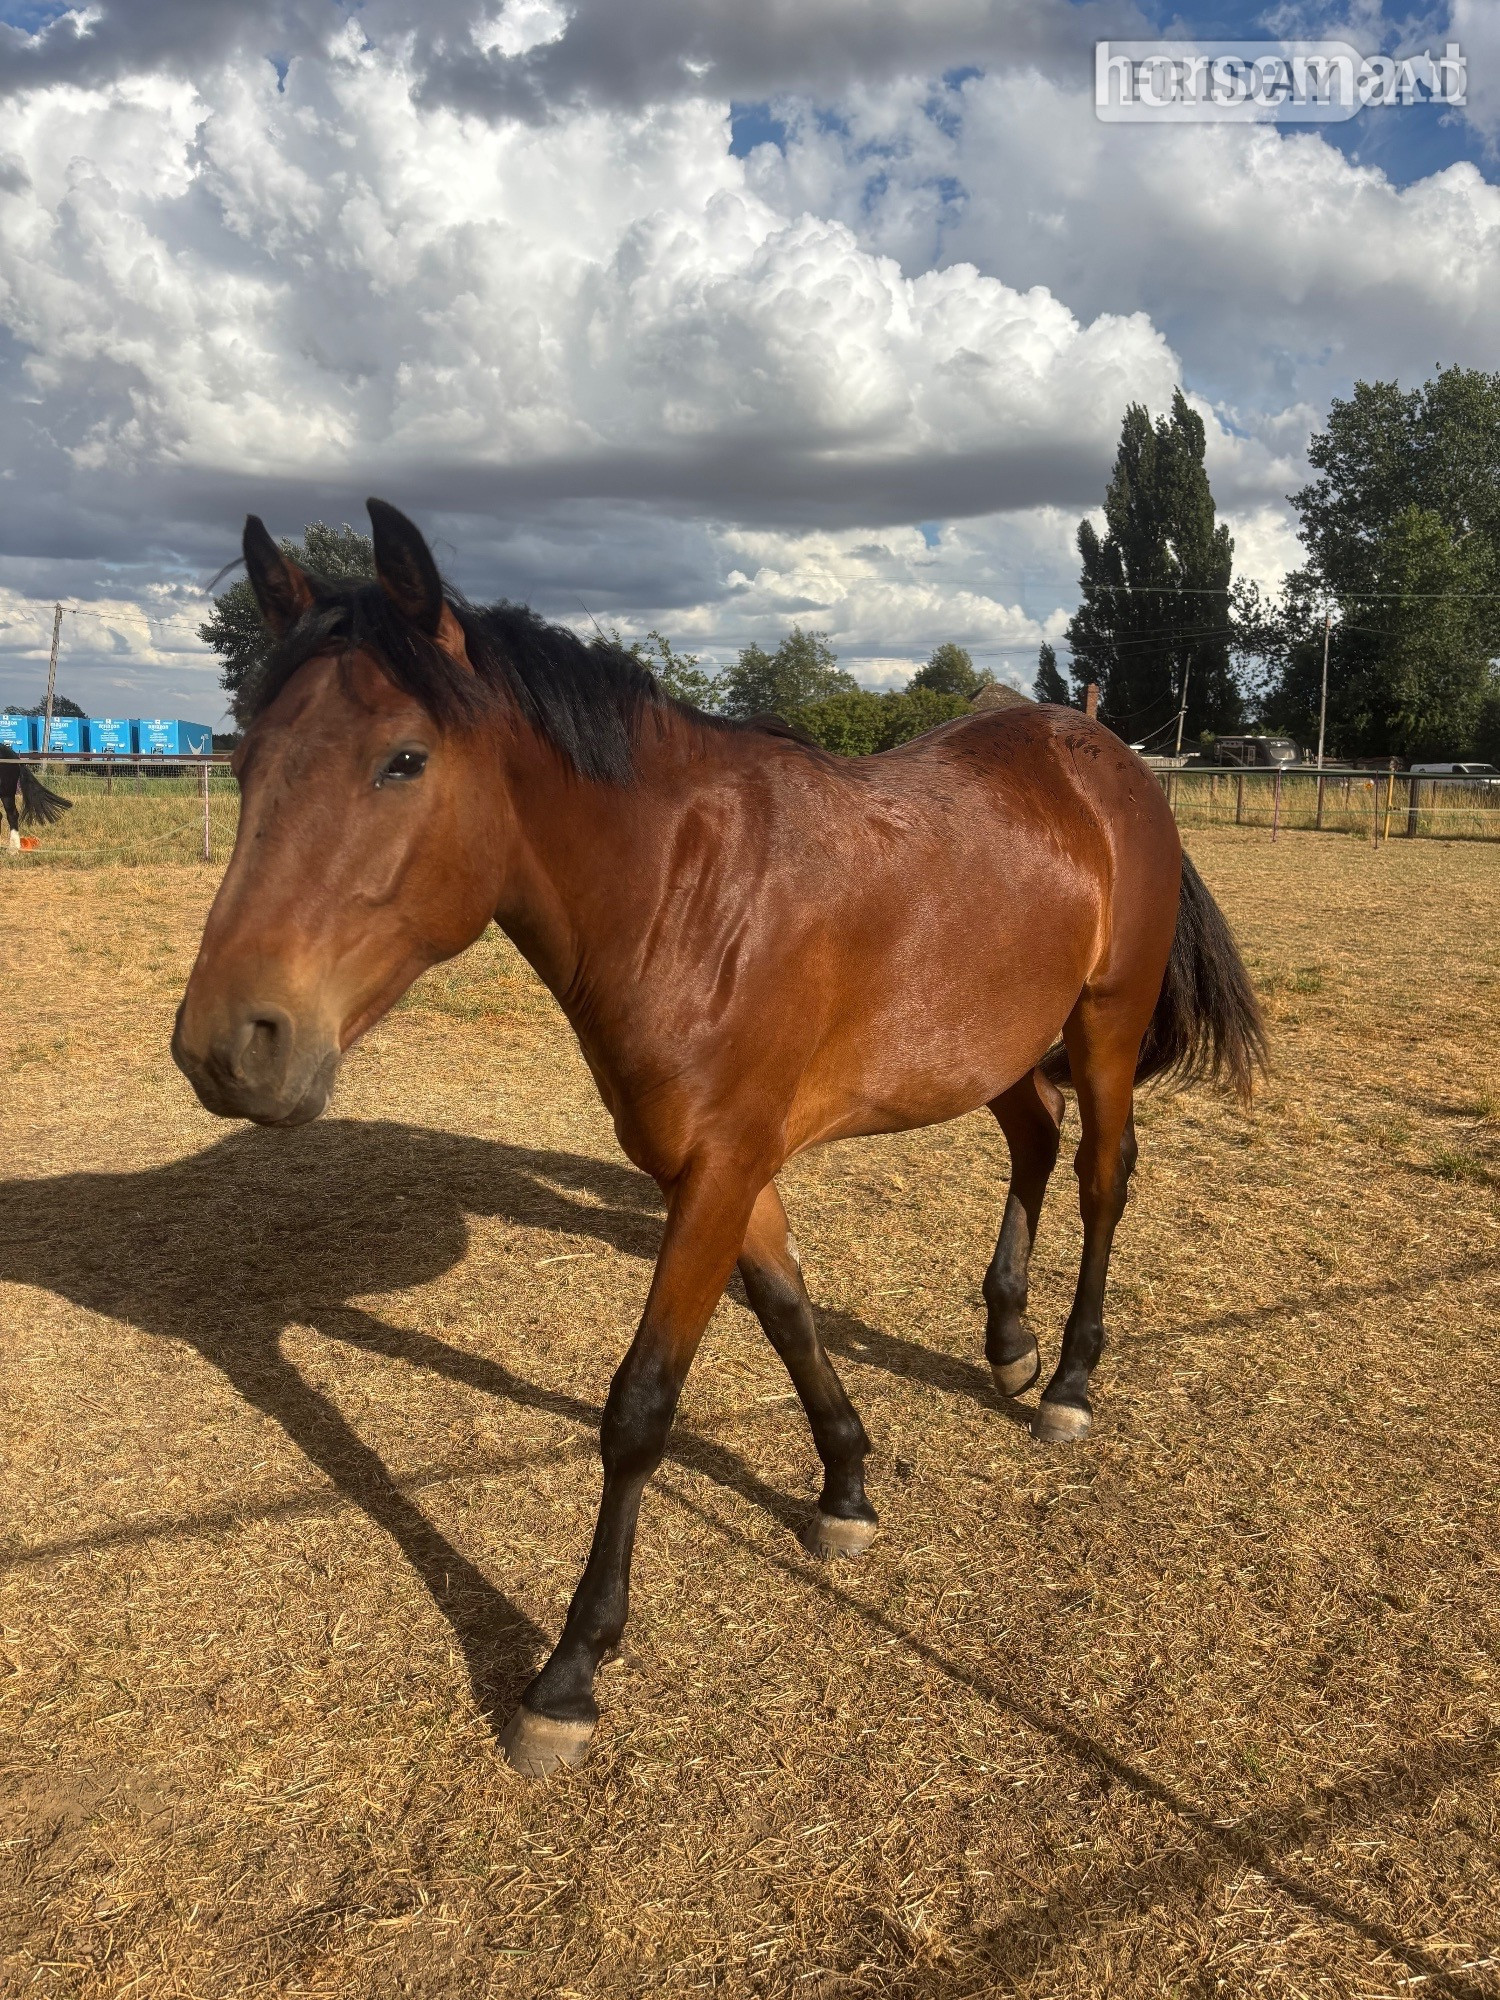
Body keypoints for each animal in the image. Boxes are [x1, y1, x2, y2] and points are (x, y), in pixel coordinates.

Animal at [173, 499, 1266, 1778]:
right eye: (247, 758)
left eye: (404, 757)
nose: (229, 1043)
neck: (689, 892)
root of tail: (1104, 755)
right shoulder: (720, 1167)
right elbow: (789, 1311)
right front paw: (846, 1482)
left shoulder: (720, 1167)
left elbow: (642, 1404)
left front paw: (572, 1669)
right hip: (991, 1046)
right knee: (1036, 1150)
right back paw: (1007, 1339)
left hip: (1102, 1024)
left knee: (1100, 1177)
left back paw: (1072, 1380)